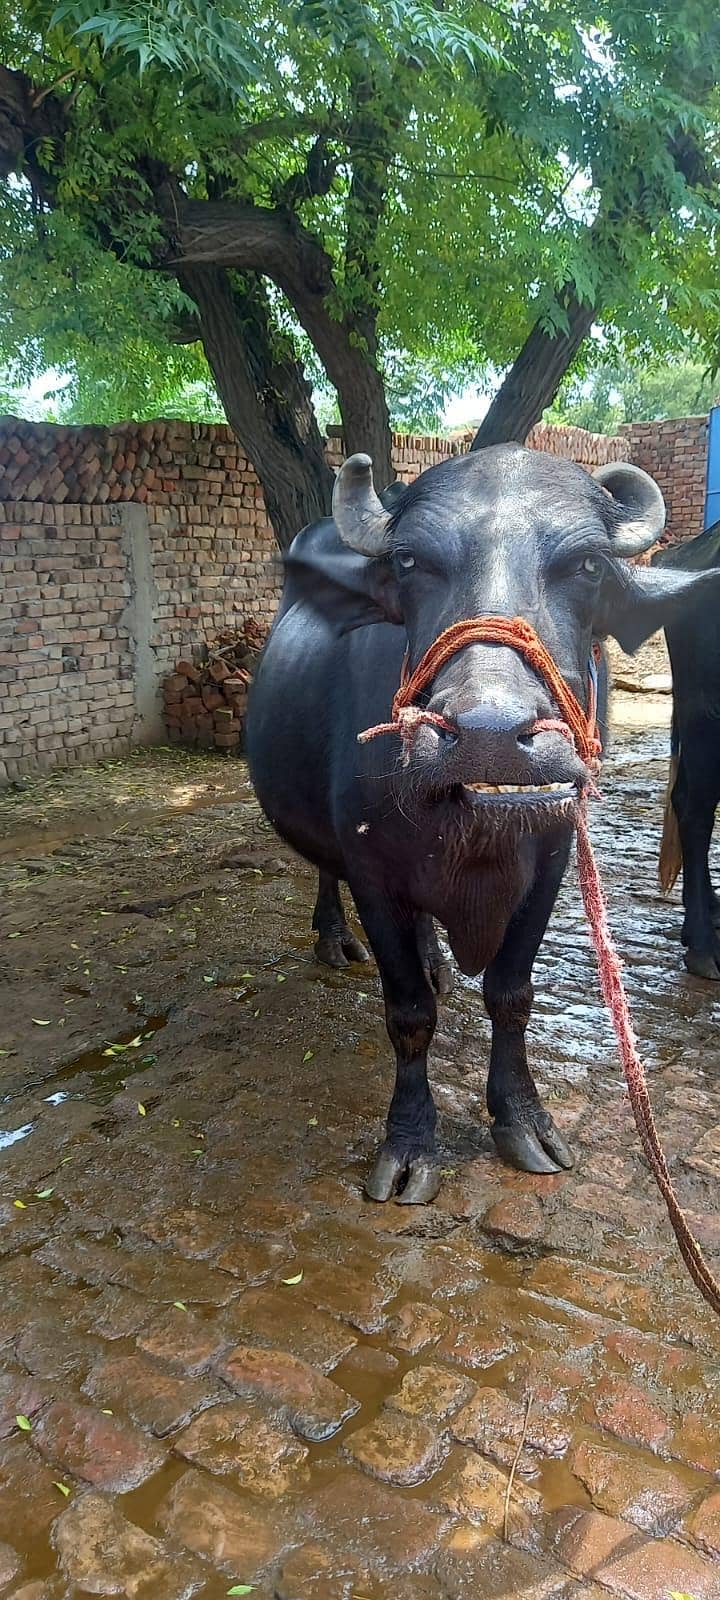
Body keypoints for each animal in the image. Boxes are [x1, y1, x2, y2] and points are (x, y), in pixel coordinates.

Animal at [247, 445, 715, 1202]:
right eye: (409, 561)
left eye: (590, 565)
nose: (489, 734)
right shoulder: (374, 872)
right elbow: (409, 1013)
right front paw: (410, 1145)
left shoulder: (551, 860)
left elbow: (511, 993)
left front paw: (523, 1120)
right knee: (323, 869)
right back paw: (334, 939)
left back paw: (437, 959)